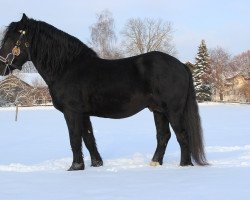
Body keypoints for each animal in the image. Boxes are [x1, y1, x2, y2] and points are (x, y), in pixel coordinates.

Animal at [0, 14, 207, 170]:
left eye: (12, 39)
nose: (2, 67)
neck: (67, 68)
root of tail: (181, 65)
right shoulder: (83, 113)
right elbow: (88, 138)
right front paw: (96, 164)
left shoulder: (72, 112)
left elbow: (75, 138)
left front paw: (75, 167)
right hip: (158, 110)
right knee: (164, 136)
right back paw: (155, 163)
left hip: (173, 110)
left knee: (182, 135)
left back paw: (184, 166)